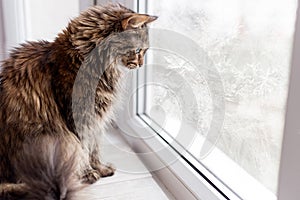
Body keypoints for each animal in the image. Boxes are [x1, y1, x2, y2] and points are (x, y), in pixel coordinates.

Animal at [0, 3, 157, 200]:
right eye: (138, 50)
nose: (141, 64)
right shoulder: (78, 118)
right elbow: (84, 150)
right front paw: (89, 173)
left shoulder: (96, 120)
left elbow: (94, 149)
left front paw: (101, 168)